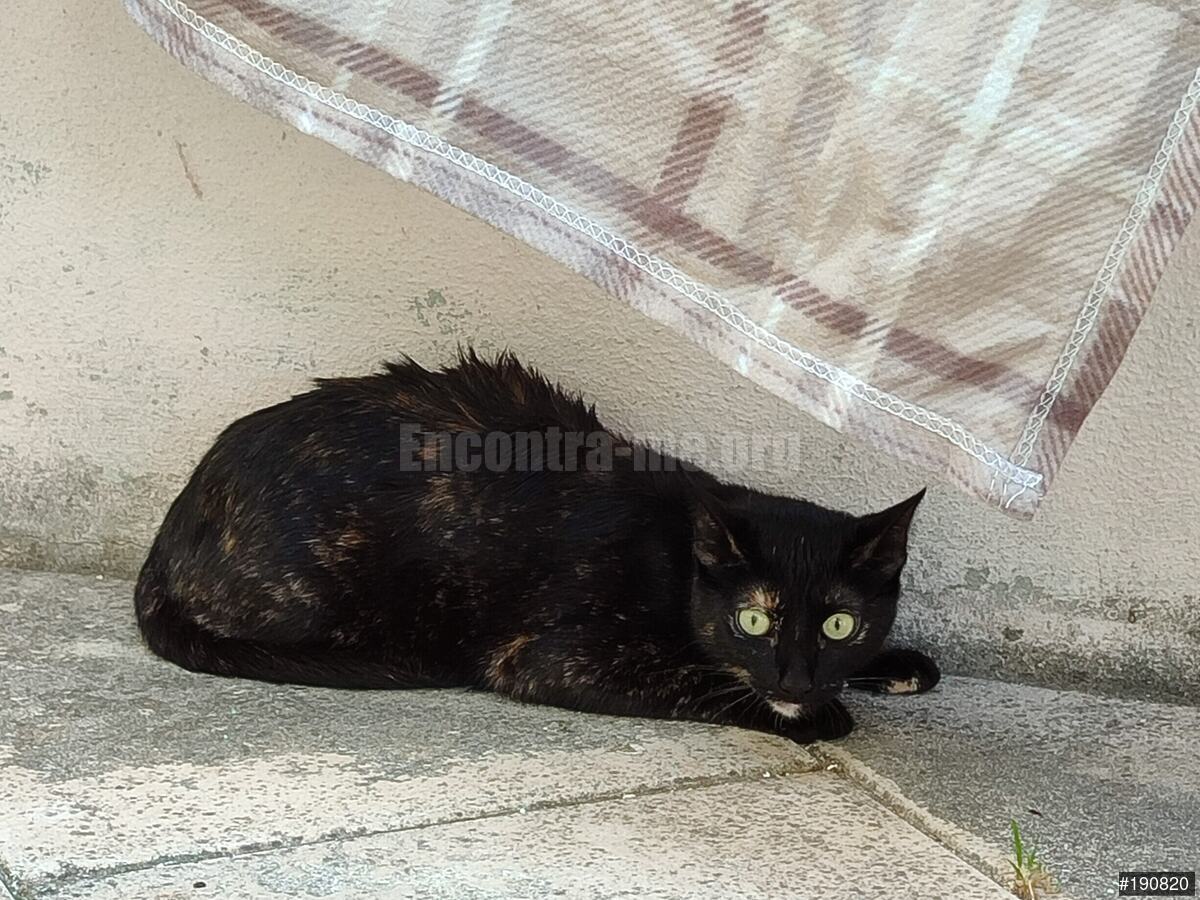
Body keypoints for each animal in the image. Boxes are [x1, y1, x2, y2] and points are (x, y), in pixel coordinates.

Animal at [134, 349, 939, 743]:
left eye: (841, 624)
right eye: (753, 620)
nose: (796, 680)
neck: (677, 561)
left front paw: (898, 664)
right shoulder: (554, 657)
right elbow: (703, 681)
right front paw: (818, 715)